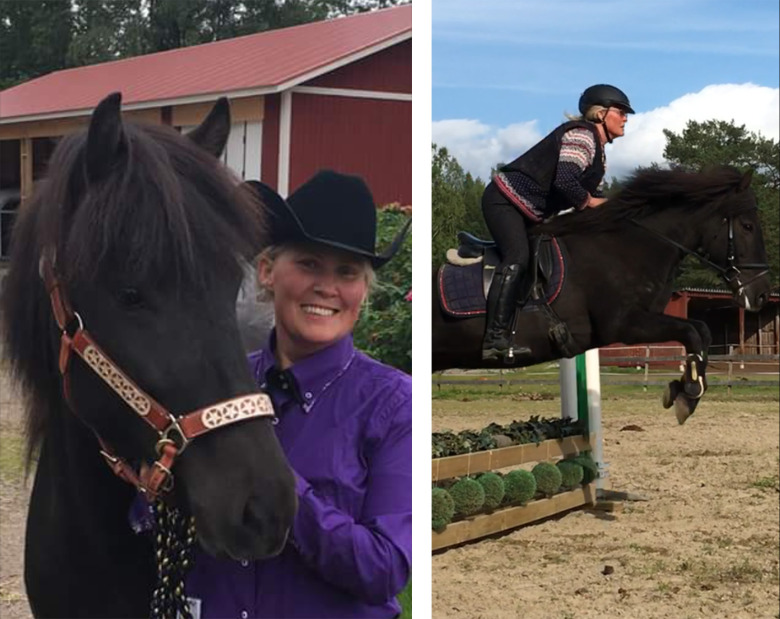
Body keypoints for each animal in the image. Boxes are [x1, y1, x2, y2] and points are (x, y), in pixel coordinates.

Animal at [433, 166, 772, 424]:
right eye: (747, 226)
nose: (761, 295)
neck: (625, 247)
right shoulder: (625, 325)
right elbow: (691, 331)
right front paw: (688, 394)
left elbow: (700, 331)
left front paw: (686, 387)